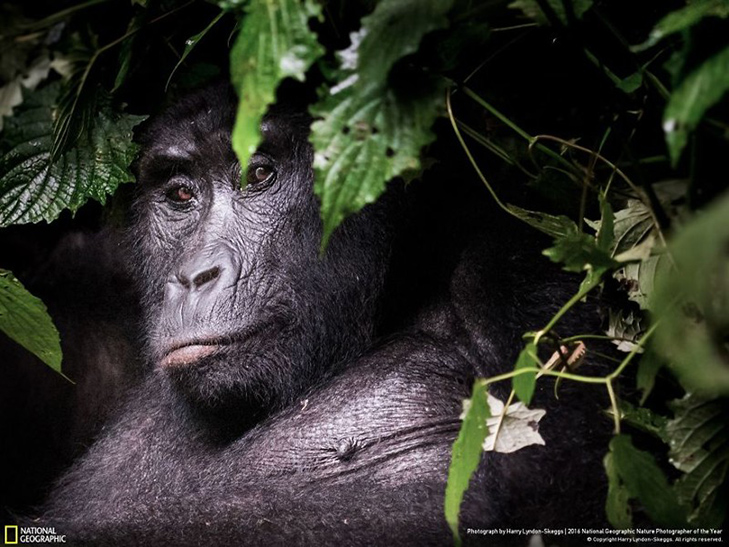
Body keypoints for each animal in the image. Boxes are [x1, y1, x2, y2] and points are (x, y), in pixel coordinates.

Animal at [18, 83, 608, 544]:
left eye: (259, 175)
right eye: (181, 194)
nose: (194, 275)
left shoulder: (520, 277)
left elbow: (548, 496)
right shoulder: (95, 271)